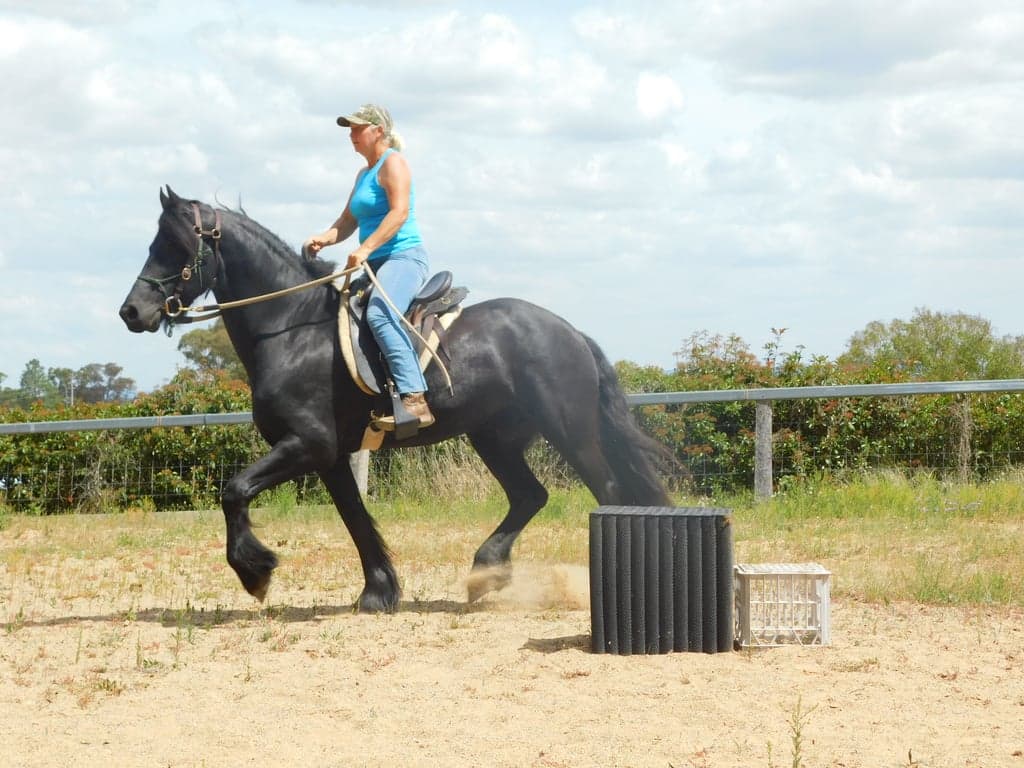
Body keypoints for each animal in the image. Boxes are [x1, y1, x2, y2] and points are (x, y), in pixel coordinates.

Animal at [119, 186, 671, 612]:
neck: (293, 330)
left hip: (570, 434)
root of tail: (569, 331)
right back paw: (485, 574)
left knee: (607, 491)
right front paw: (379, 593)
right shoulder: (330, 456)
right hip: (492, 436)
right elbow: (357, 522)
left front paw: (256, 572)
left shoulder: (307, 445)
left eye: (176, 245)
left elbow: (233, 491)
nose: (132, 311)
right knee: (529, 496)